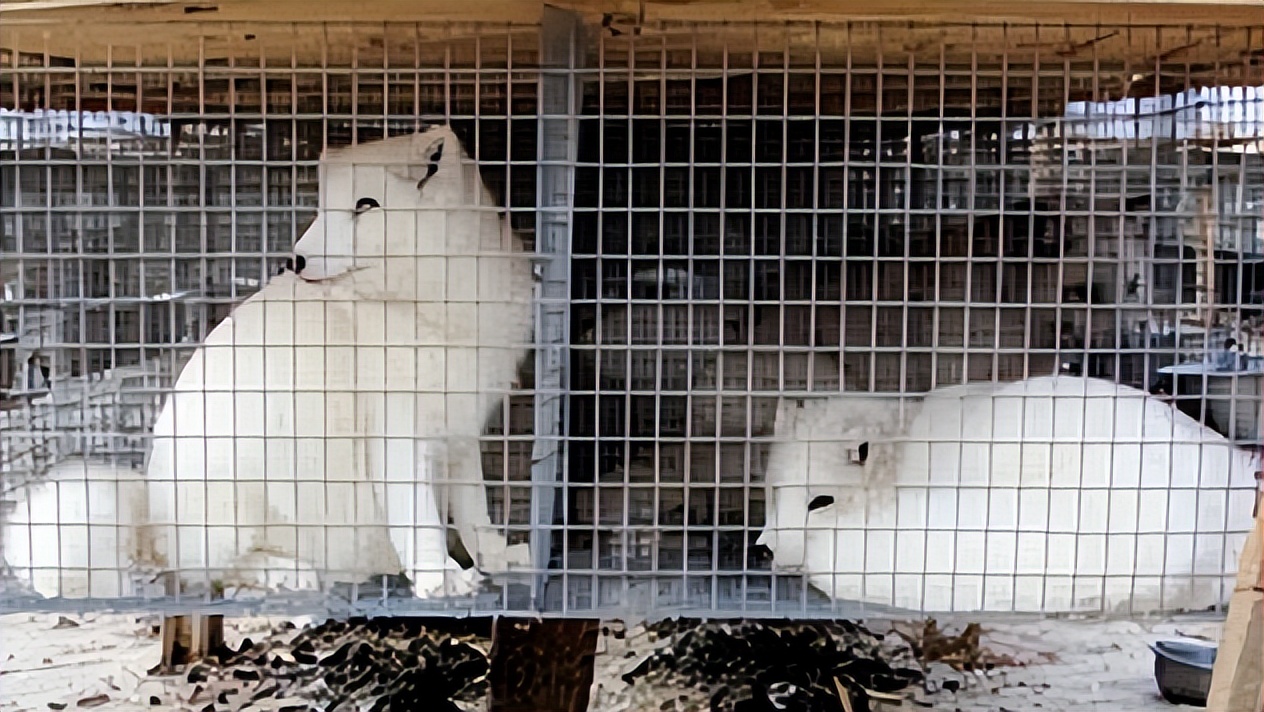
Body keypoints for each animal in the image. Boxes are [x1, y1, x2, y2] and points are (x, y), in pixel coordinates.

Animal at [146, 126, 533, 596]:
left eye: (366, 205)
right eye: (322, 208)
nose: (293, 260)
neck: (433, 303)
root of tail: (154, 532)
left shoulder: (461, 424)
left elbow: (475, 506)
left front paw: (496, 557)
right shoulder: (395, 427)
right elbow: (417, 514)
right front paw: (438, 576)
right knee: (211, 570)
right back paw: (287, 571)